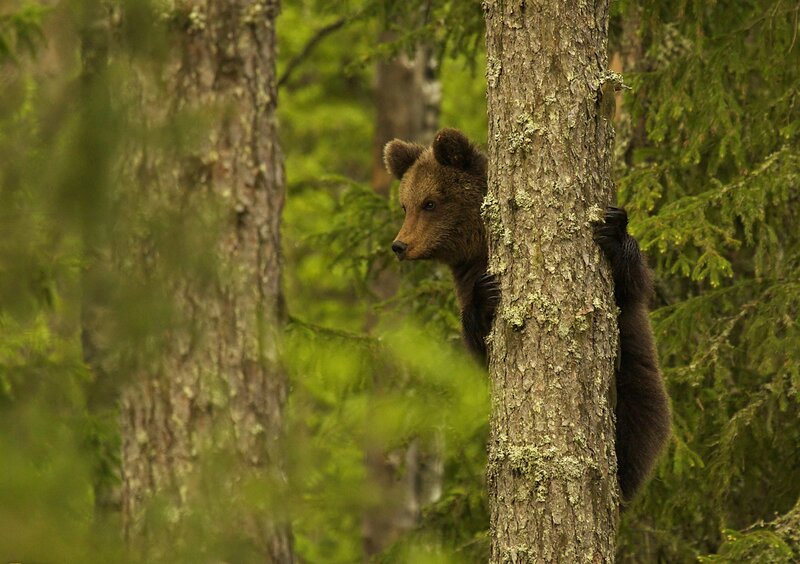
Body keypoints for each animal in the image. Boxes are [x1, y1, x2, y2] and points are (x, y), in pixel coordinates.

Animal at [384, 127, 671, 502]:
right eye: (406, 204)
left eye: (429, 203)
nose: (399, 245)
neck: (478, 246)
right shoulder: (465, 278)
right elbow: (478, 339)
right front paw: (487, 295)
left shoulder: (629, 297)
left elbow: (634, 283)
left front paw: (613, 230)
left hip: (639, 378)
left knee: (640, 423)